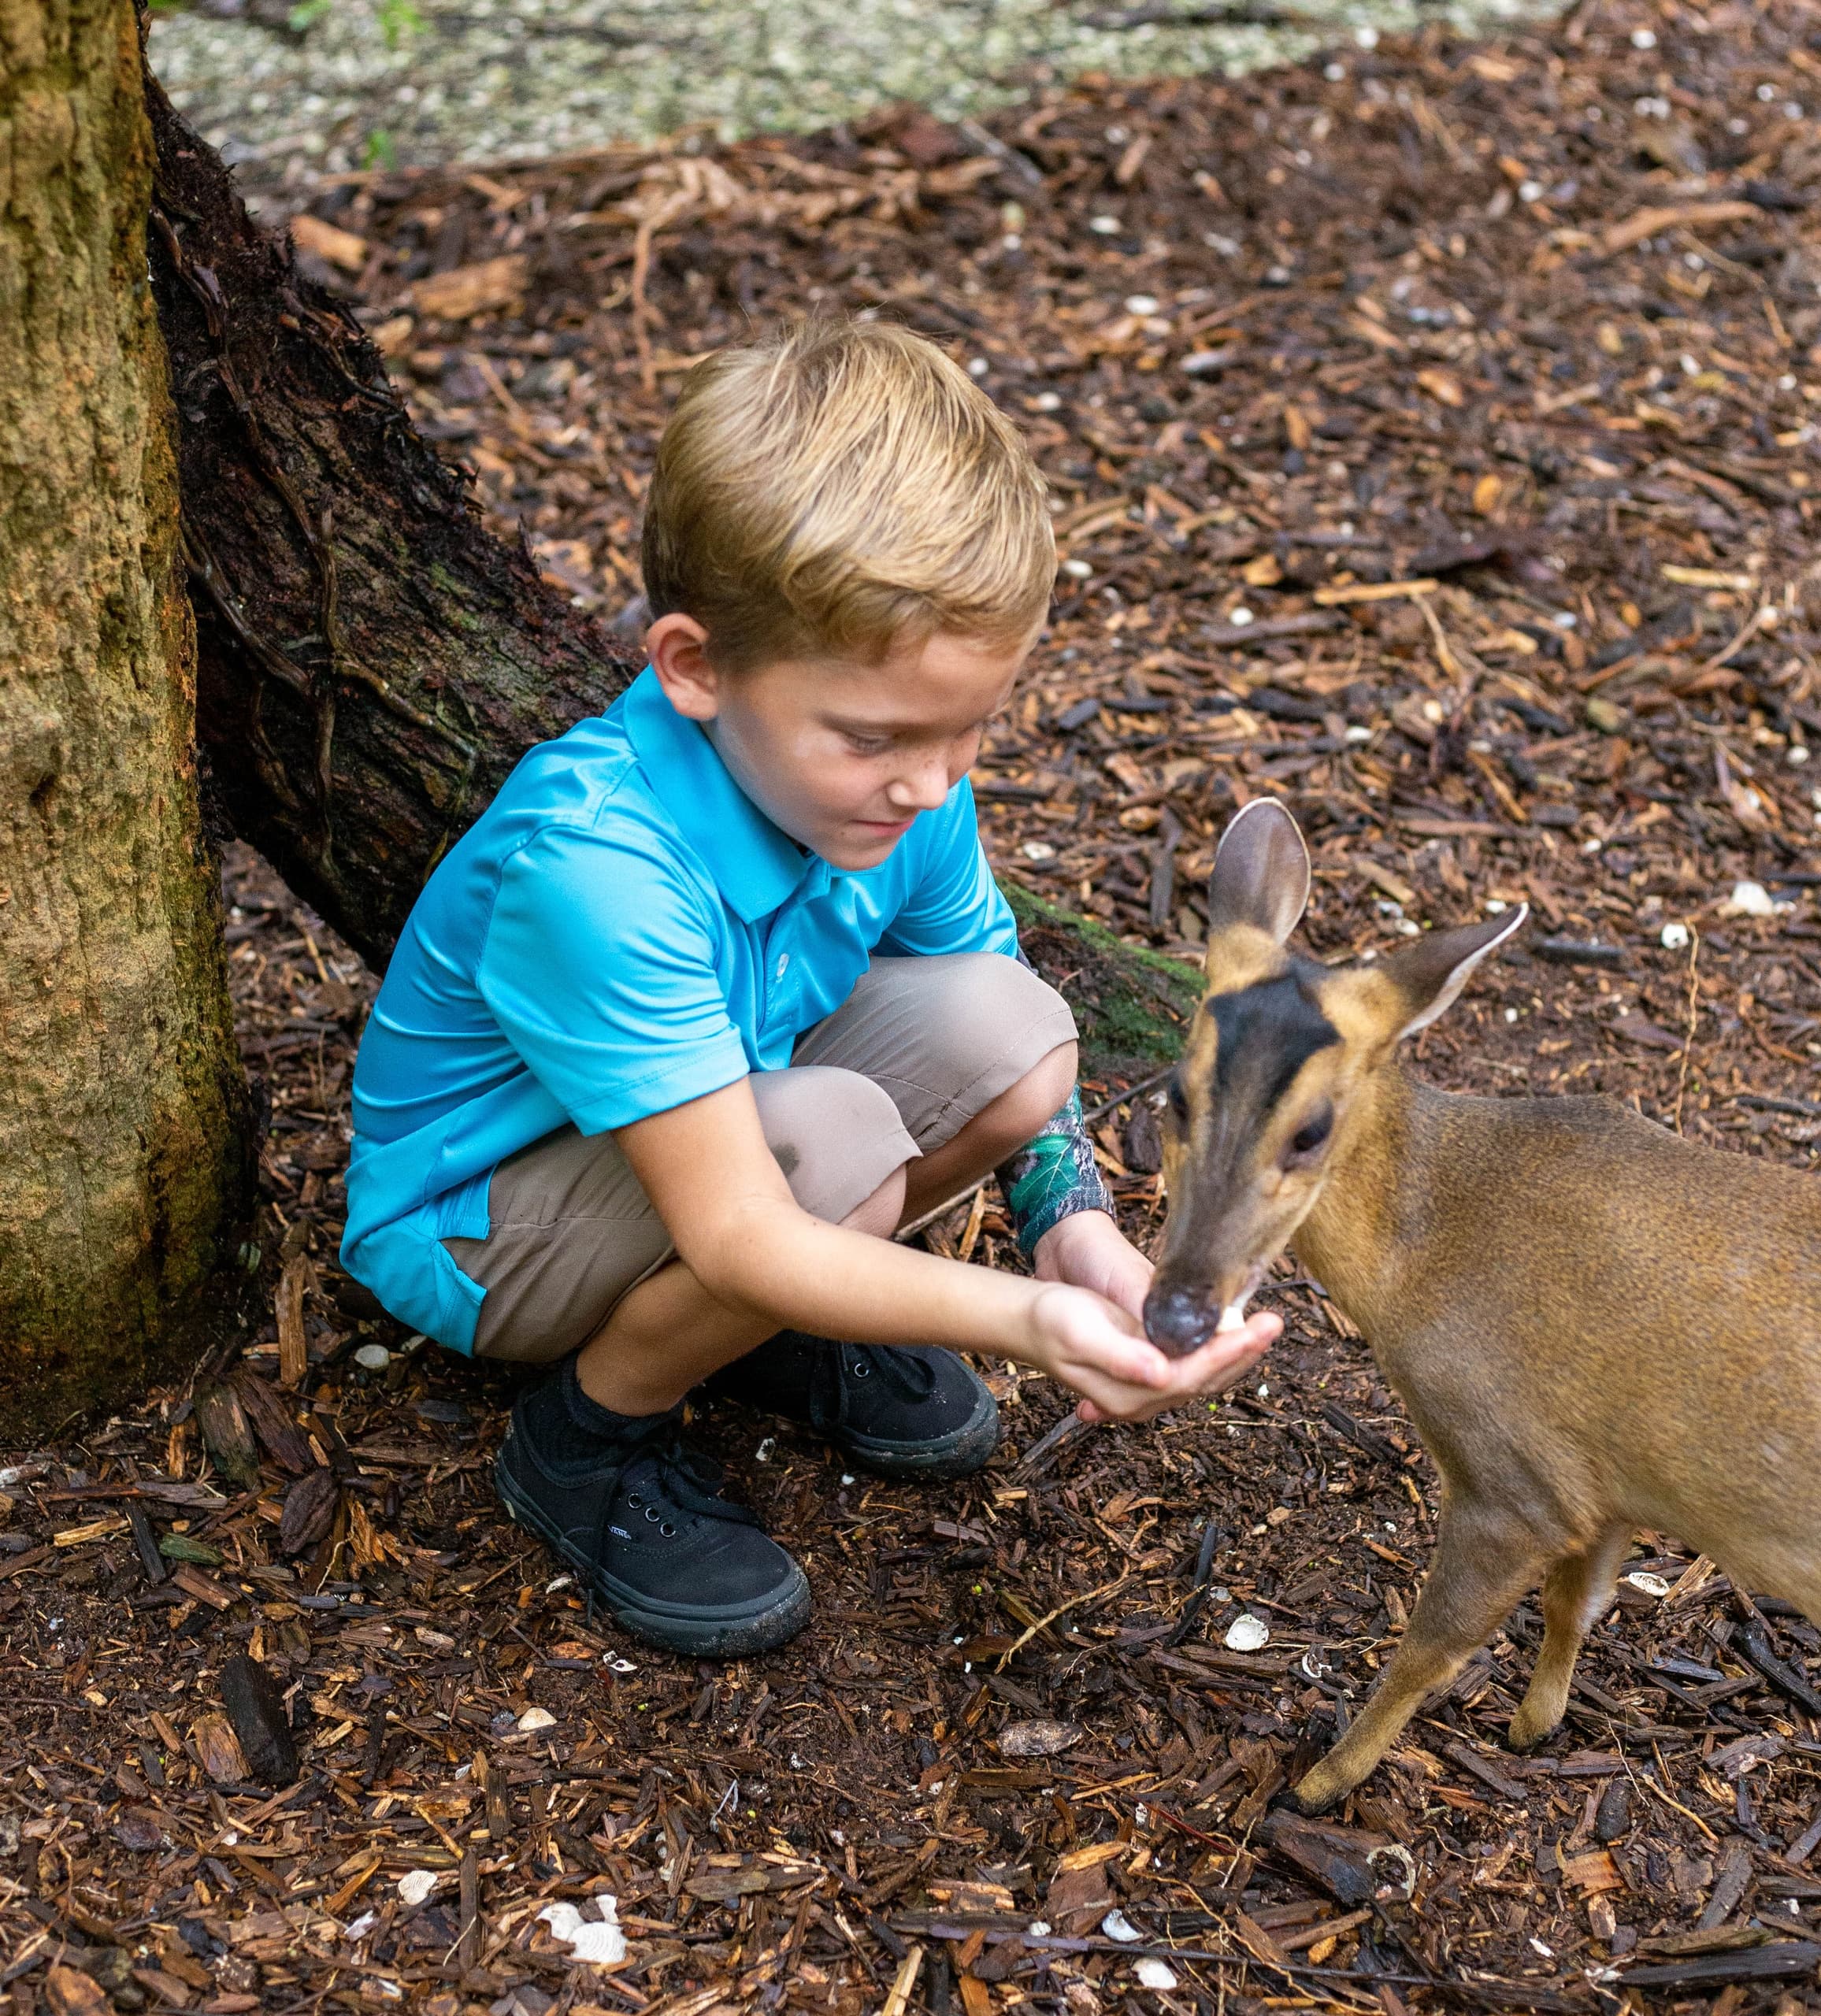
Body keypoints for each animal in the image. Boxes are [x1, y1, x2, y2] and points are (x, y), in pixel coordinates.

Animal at [1144, 796, 1821, 1815]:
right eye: (1175, 1097)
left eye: (1309, 1130)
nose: (1176, 1314)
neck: (1421, 1257)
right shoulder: (1602, 1475)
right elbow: (1578, 1599)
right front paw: (1533, 1724)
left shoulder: (1513, 1473)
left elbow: (1431, 1647)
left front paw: (1319, 1782)